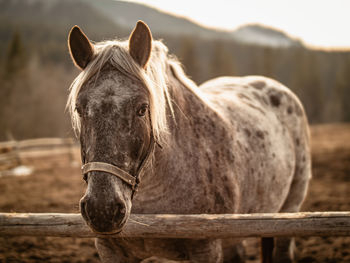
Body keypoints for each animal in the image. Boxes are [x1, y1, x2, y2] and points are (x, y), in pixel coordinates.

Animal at [66, 21, 312, 263]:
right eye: (79, 109)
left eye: (142, 109)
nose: (102, 209)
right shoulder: (110, 249)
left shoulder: (205, 249)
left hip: (288, 211)